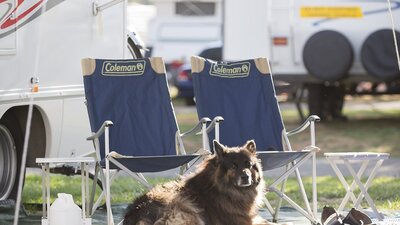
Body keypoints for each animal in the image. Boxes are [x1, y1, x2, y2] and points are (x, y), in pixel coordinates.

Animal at [122, 140, 276, 224]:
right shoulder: (242, 221)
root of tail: (138, 213)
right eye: (233, 166)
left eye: (249, 165)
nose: (246, 177)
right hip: (189, 209)